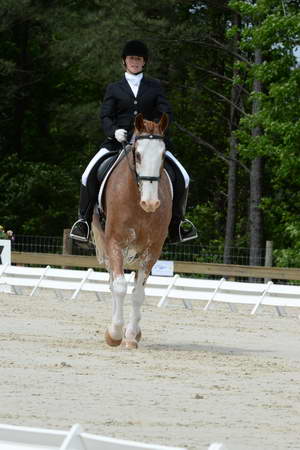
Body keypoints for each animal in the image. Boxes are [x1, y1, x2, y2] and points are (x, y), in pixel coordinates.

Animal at [91, 111, 172, 348]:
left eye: (163, 155)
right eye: (137, 154)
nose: (151, 203)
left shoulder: (152, 249)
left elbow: (138, 293)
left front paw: (131, 335)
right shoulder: (115, 242)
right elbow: (119, 286)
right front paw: (115, 334)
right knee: (112, 282)